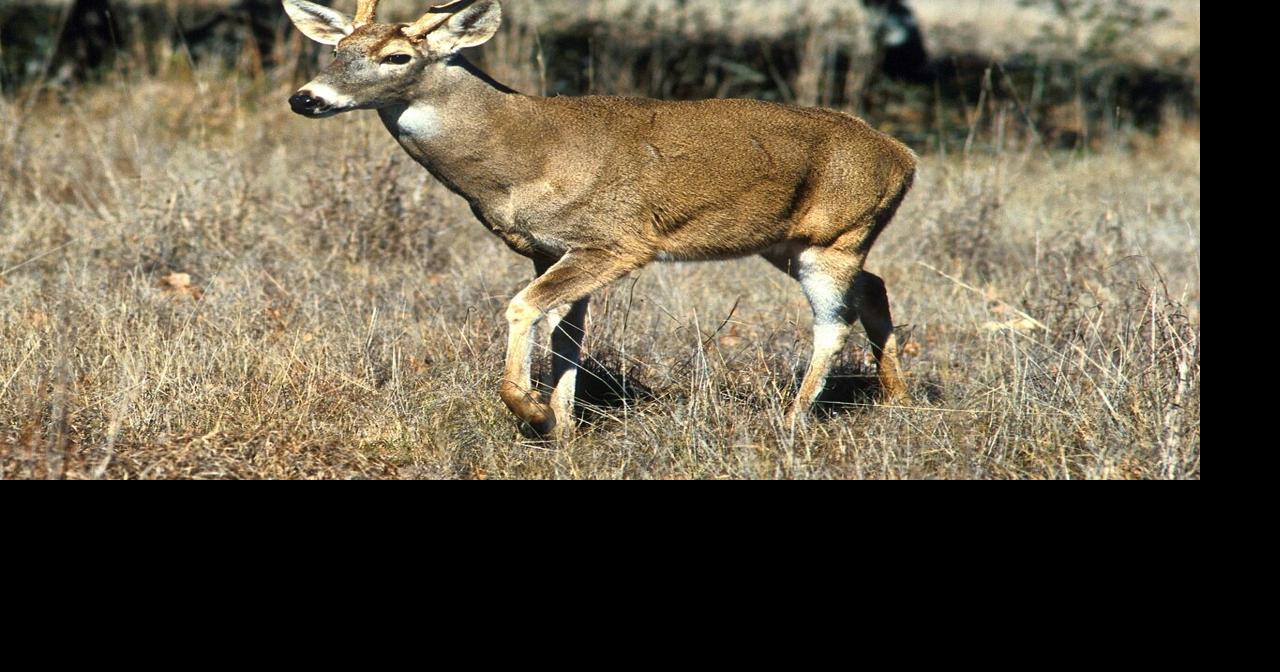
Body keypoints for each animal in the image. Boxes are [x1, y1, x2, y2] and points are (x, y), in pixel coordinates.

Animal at [283, 0, 917, 440]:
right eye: (337, 50)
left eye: (398, 56)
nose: (305, 98)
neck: (522, 157)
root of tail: (904, 157)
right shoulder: (549, 247)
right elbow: (566, 332)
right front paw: (563, 426)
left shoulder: (616, 240)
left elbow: (525, 308)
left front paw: (533, 411)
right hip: (788, 242)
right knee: (874, 287)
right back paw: (897, 399)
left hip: (835, 237)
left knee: (833, 322)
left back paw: (791, 419)